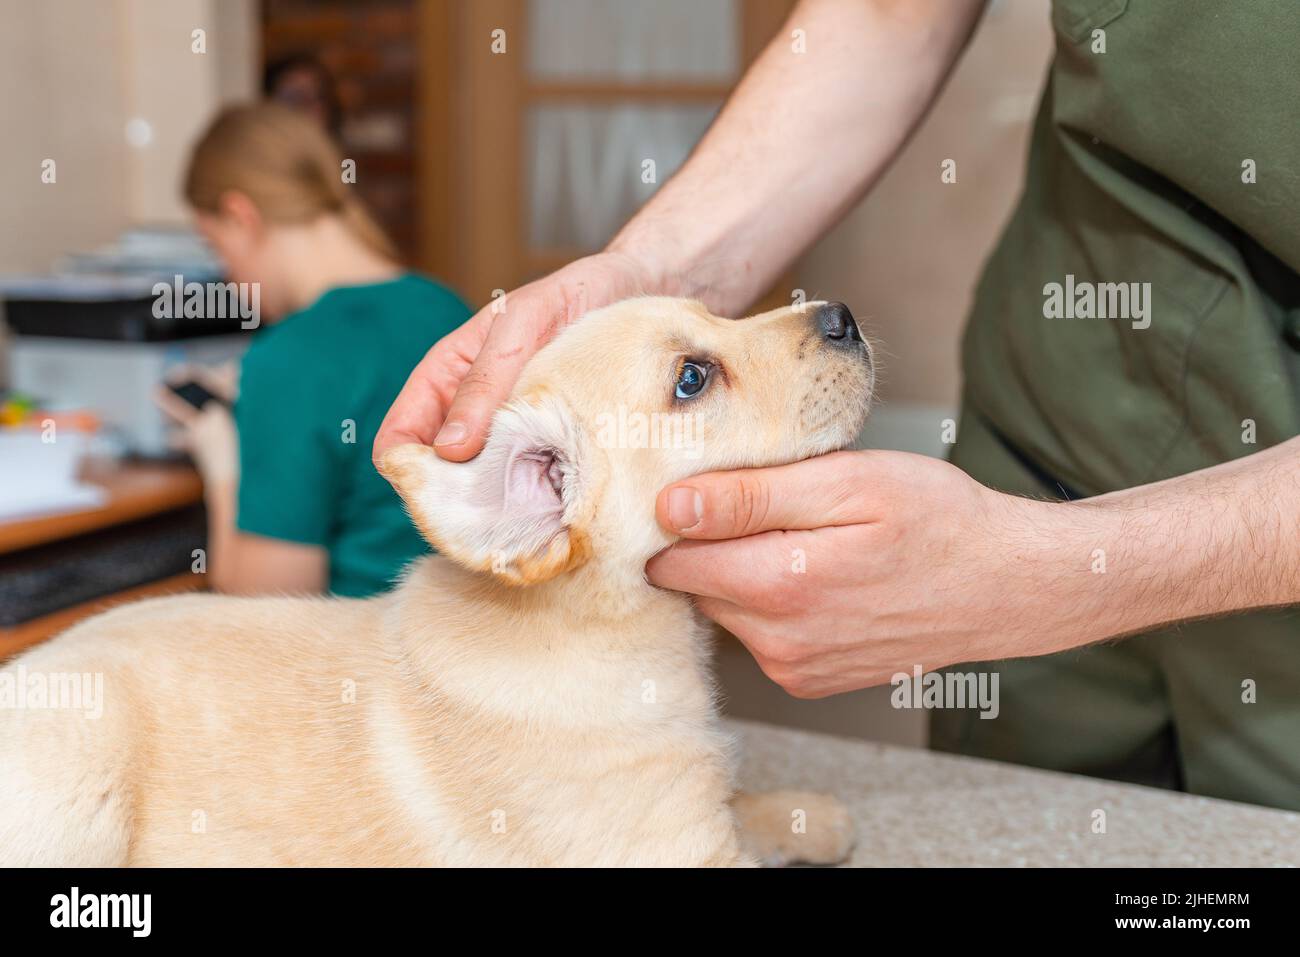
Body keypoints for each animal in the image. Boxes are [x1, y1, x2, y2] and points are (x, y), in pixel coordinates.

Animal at [2, 297, 873, 868]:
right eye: (693, 378)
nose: (843, 315)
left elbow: (743, 799)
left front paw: (807, 815)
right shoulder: (680, 851)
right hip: (84, 769)